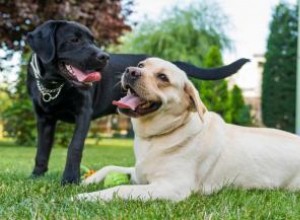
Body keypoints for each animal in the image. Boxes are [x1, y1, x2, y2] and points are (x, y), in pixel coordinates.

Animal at [26, 20, 248, 185]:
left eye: (93, 40)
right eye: (74, 40)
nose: (104, 56)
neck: (54, 85)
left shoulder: (83, 113)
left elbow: (74, 147)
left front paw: (69, 179)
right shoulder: (44, 118)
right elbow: (42, 149)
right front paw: (36, 176)